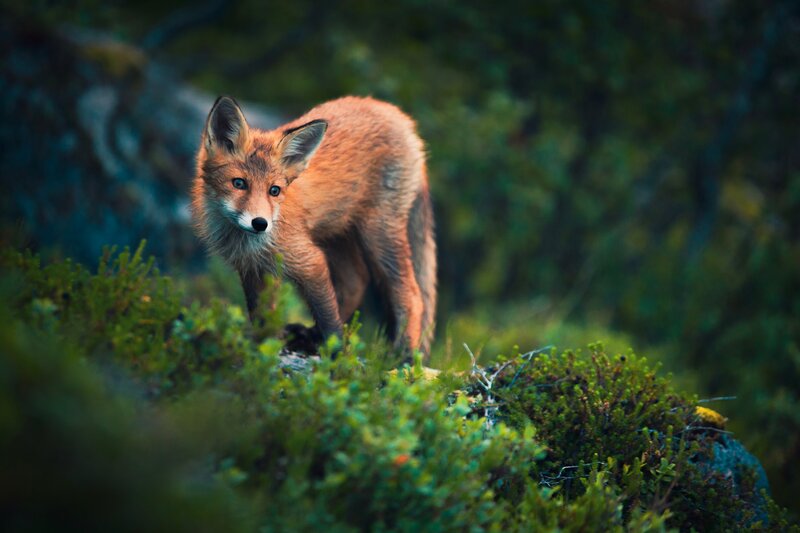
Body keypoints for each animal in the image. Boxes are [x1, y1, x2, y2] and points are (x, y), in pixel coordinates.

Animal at [191, 96, 437, 355]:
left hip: (377, 233)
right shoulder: (252, 268)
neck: (245, 241)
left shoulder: (309, 260)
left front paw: (336, 355)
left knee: (411, 294)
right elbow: (261, 316)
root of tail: (397, 115)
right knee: (355, 283)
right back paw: (309, 335)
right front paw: (264, 346)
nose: (260, 223)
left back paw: (403, 354)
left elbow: (327, 316)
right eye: (238, 183)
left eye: (274, 190)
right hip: (337, 235)